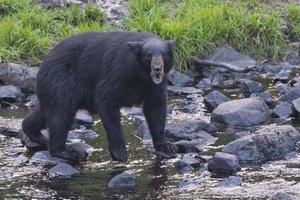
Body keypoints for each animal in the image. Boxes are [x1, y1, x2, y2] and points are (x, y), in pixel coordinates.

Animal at [22, 32, 178, 162]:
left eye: (164, 54)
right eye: (149, 55)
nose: (157, 69)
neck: (141, 75)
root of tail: (43, 62)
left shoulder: (154, 85)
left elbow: (156, 108)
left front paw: (166, 146)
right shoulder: (118, 73)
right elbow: (106, 100)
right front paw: (119, 152)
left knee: (47, 111)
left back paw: (36, 134)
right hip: (61, 81)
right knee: (61, 114)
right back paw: (67, 153)